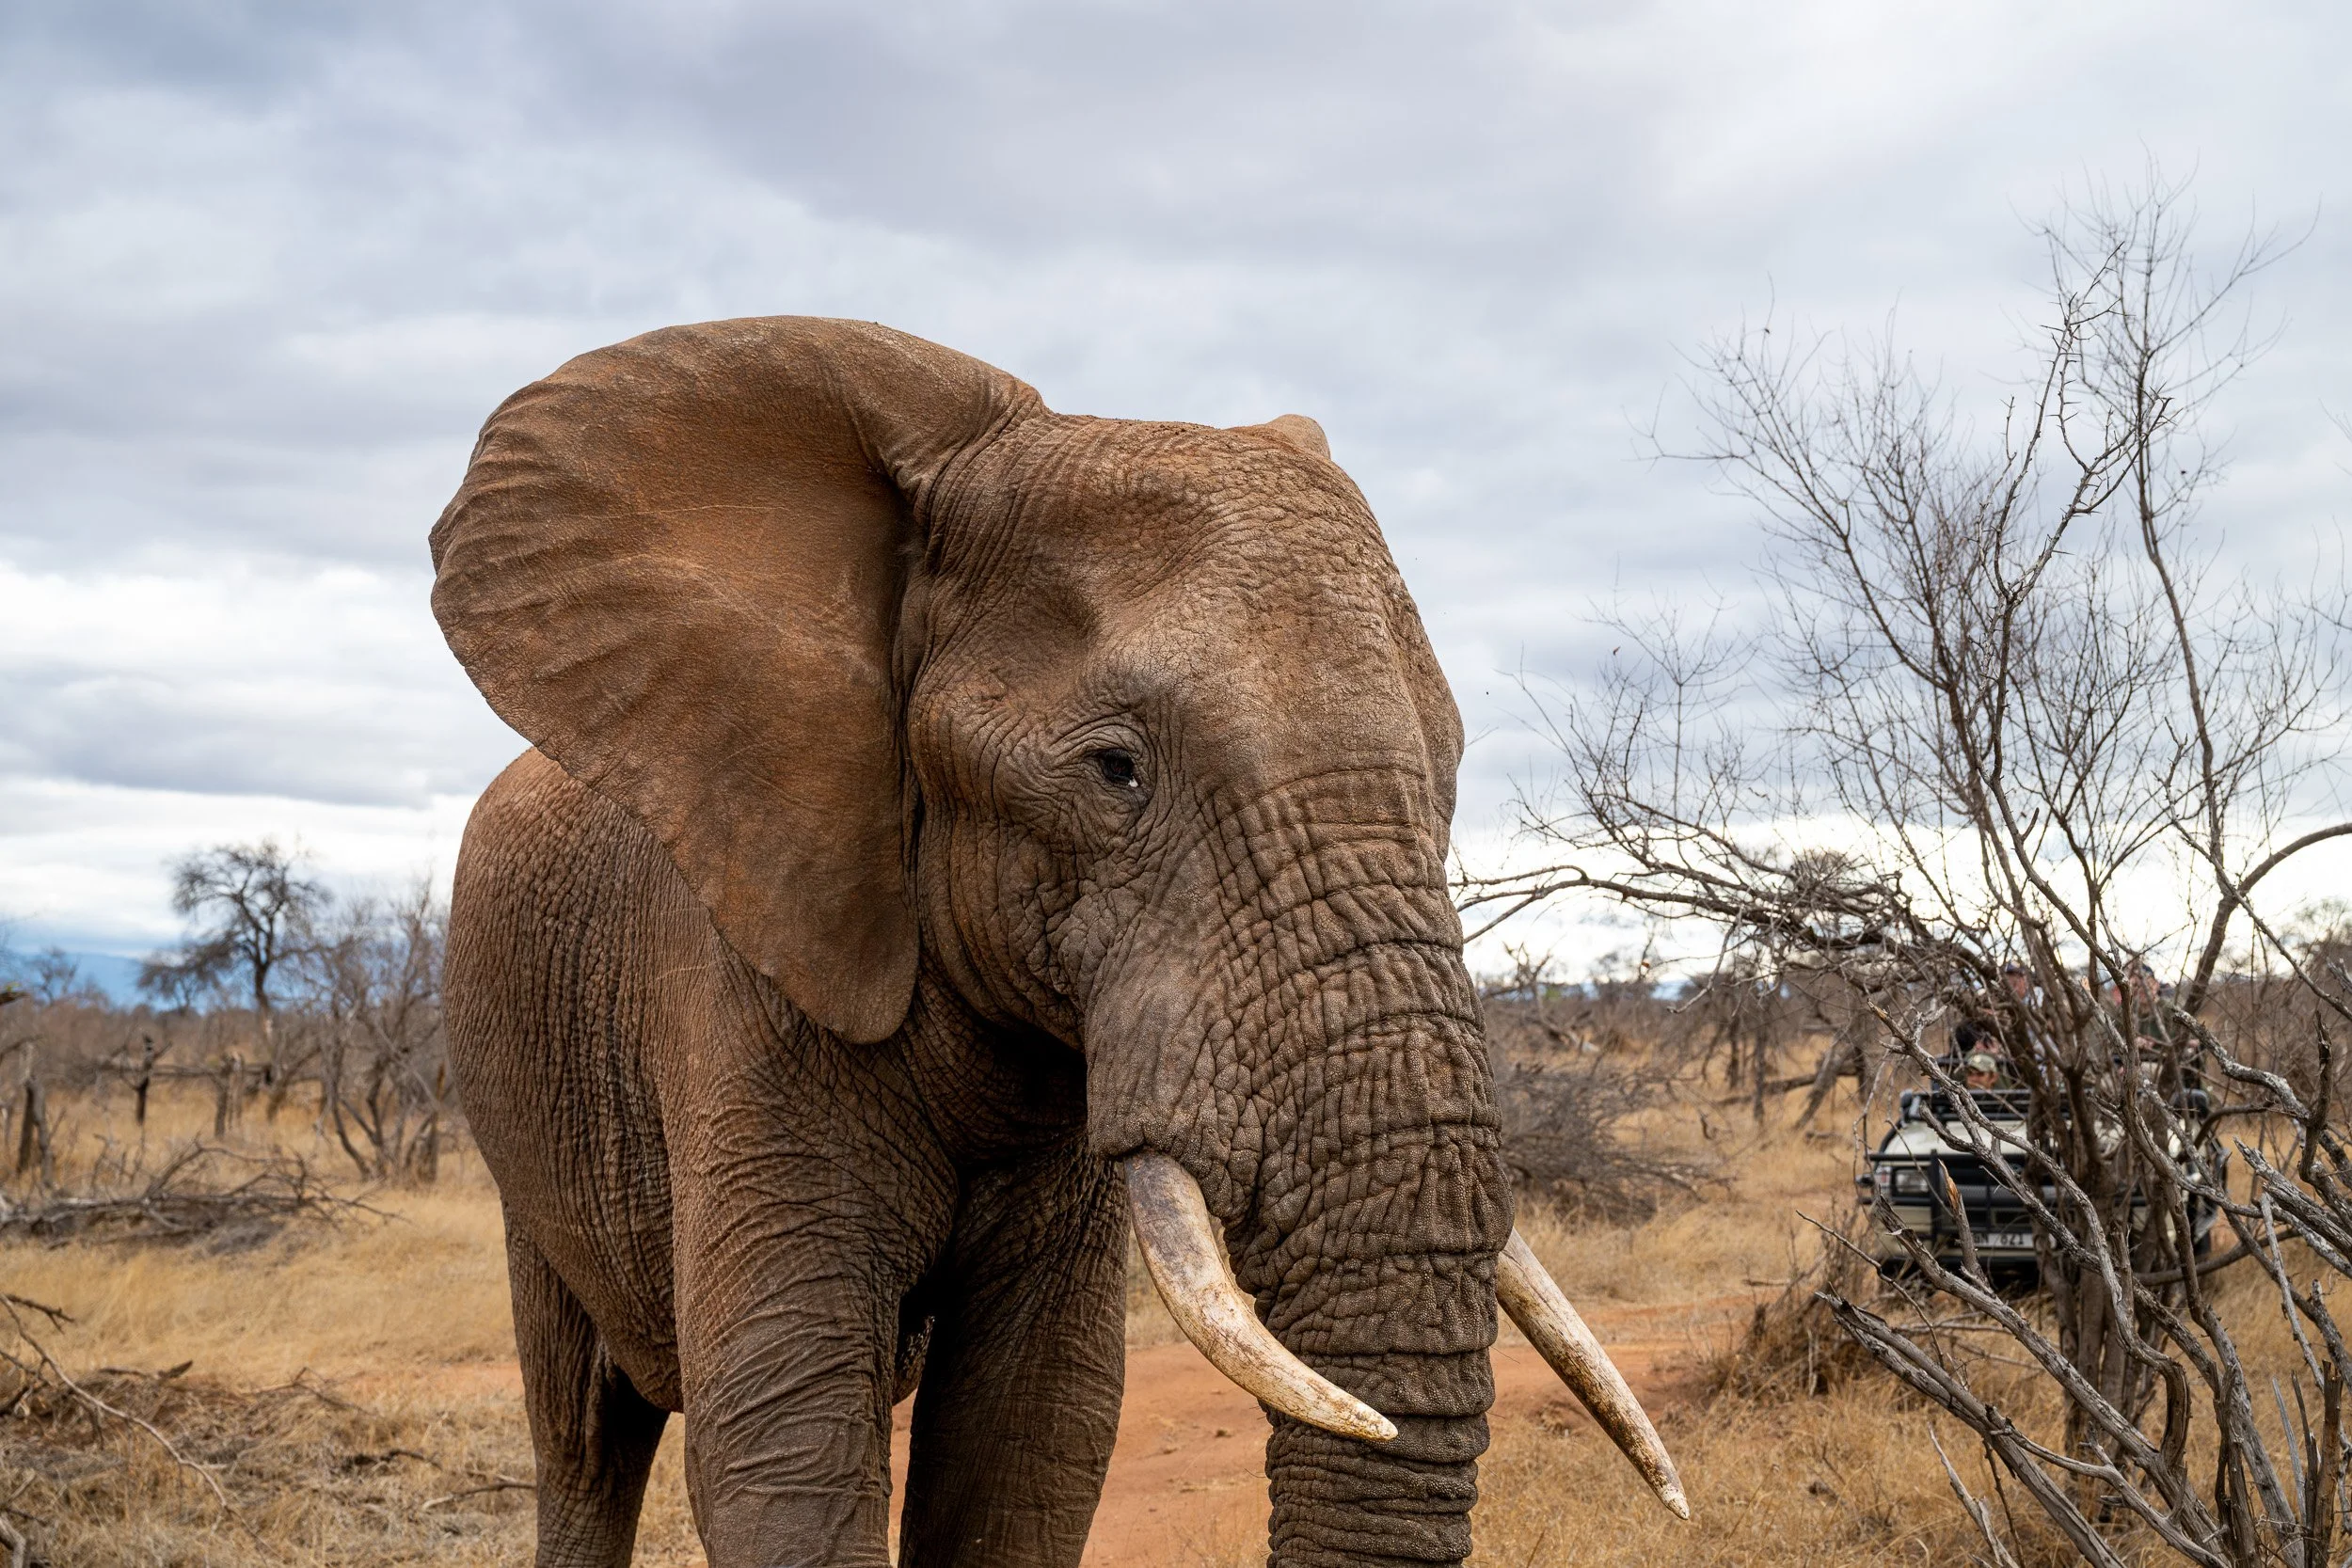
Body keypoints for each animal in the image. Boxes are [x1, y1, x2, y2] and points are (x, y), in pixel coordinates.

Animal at [428, 316, 1682, 1568]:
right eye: (1114, 770)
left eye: (1453, 771)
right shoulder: (745, 964)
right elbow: (786, 1442)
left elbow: (1031, 1436)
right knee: (584, 1440)